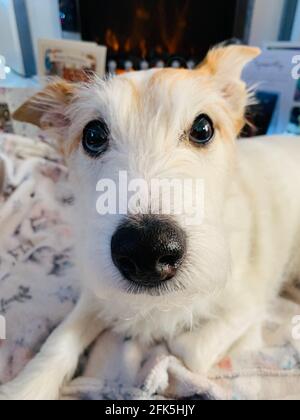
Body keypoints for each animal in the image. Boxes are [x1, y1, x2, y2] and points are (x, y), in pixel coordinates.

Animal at [1, 46, 298, 400]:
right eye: (93, 134)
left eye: (202, 128)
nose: (147, 249)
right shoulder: (98, 291)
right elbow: (60, 339)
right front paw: (24, 388)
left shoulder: (249, 304)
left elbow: (187, 350)